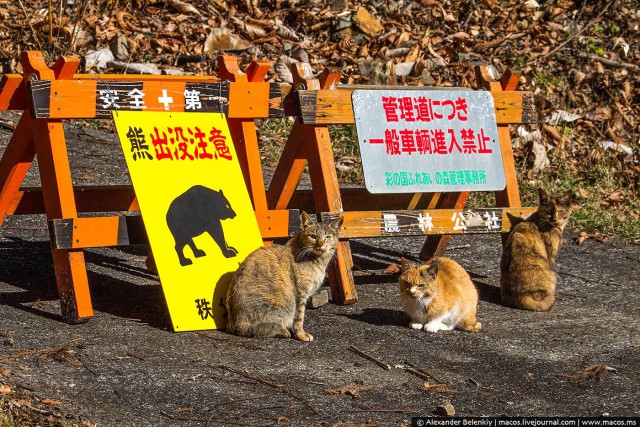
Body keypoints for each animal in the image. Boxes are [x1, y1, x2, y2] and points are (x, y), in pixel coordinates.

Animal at [226, 212, 342, 342]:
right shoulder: (301, 293)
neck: (318, 261)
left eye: (327, 237)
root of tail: (232, 324)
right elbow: (299, 317)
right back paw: (282, 331)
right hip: (280, 305)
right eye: (313, 236)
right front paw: (301, 334)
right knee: (253, 330)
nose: (320, 244)